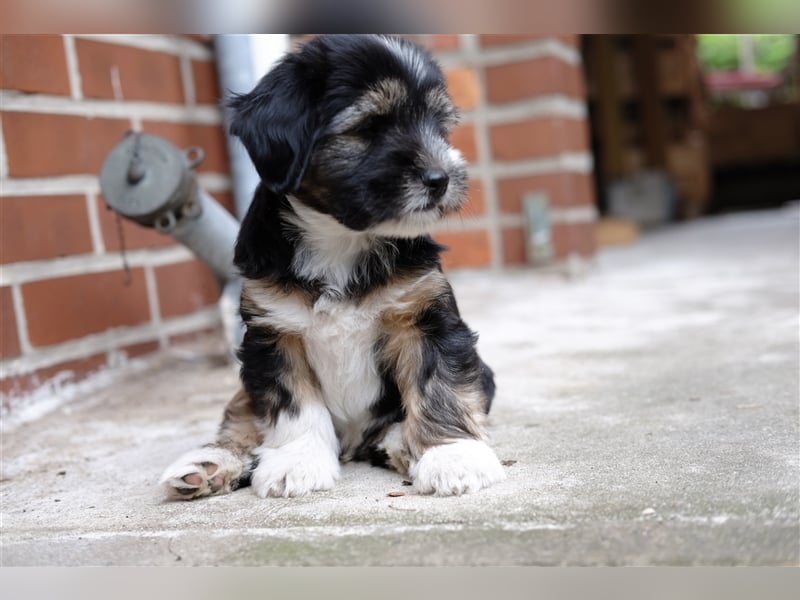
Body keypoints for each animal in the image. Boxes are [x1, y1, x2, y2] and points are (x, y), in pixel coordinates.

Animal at [159, 35, 504, 500]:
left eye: (439, 127)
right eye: (369, 127)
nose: (440, 178)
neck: (341, 239)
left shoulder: (425, 317)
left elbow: (439, 384)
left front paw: (452, 456)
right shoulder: (273, 333)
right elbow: (293, 406)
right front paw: (296, 463)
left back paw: (401, 442)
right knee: (240, 419)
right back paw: (208, 465)